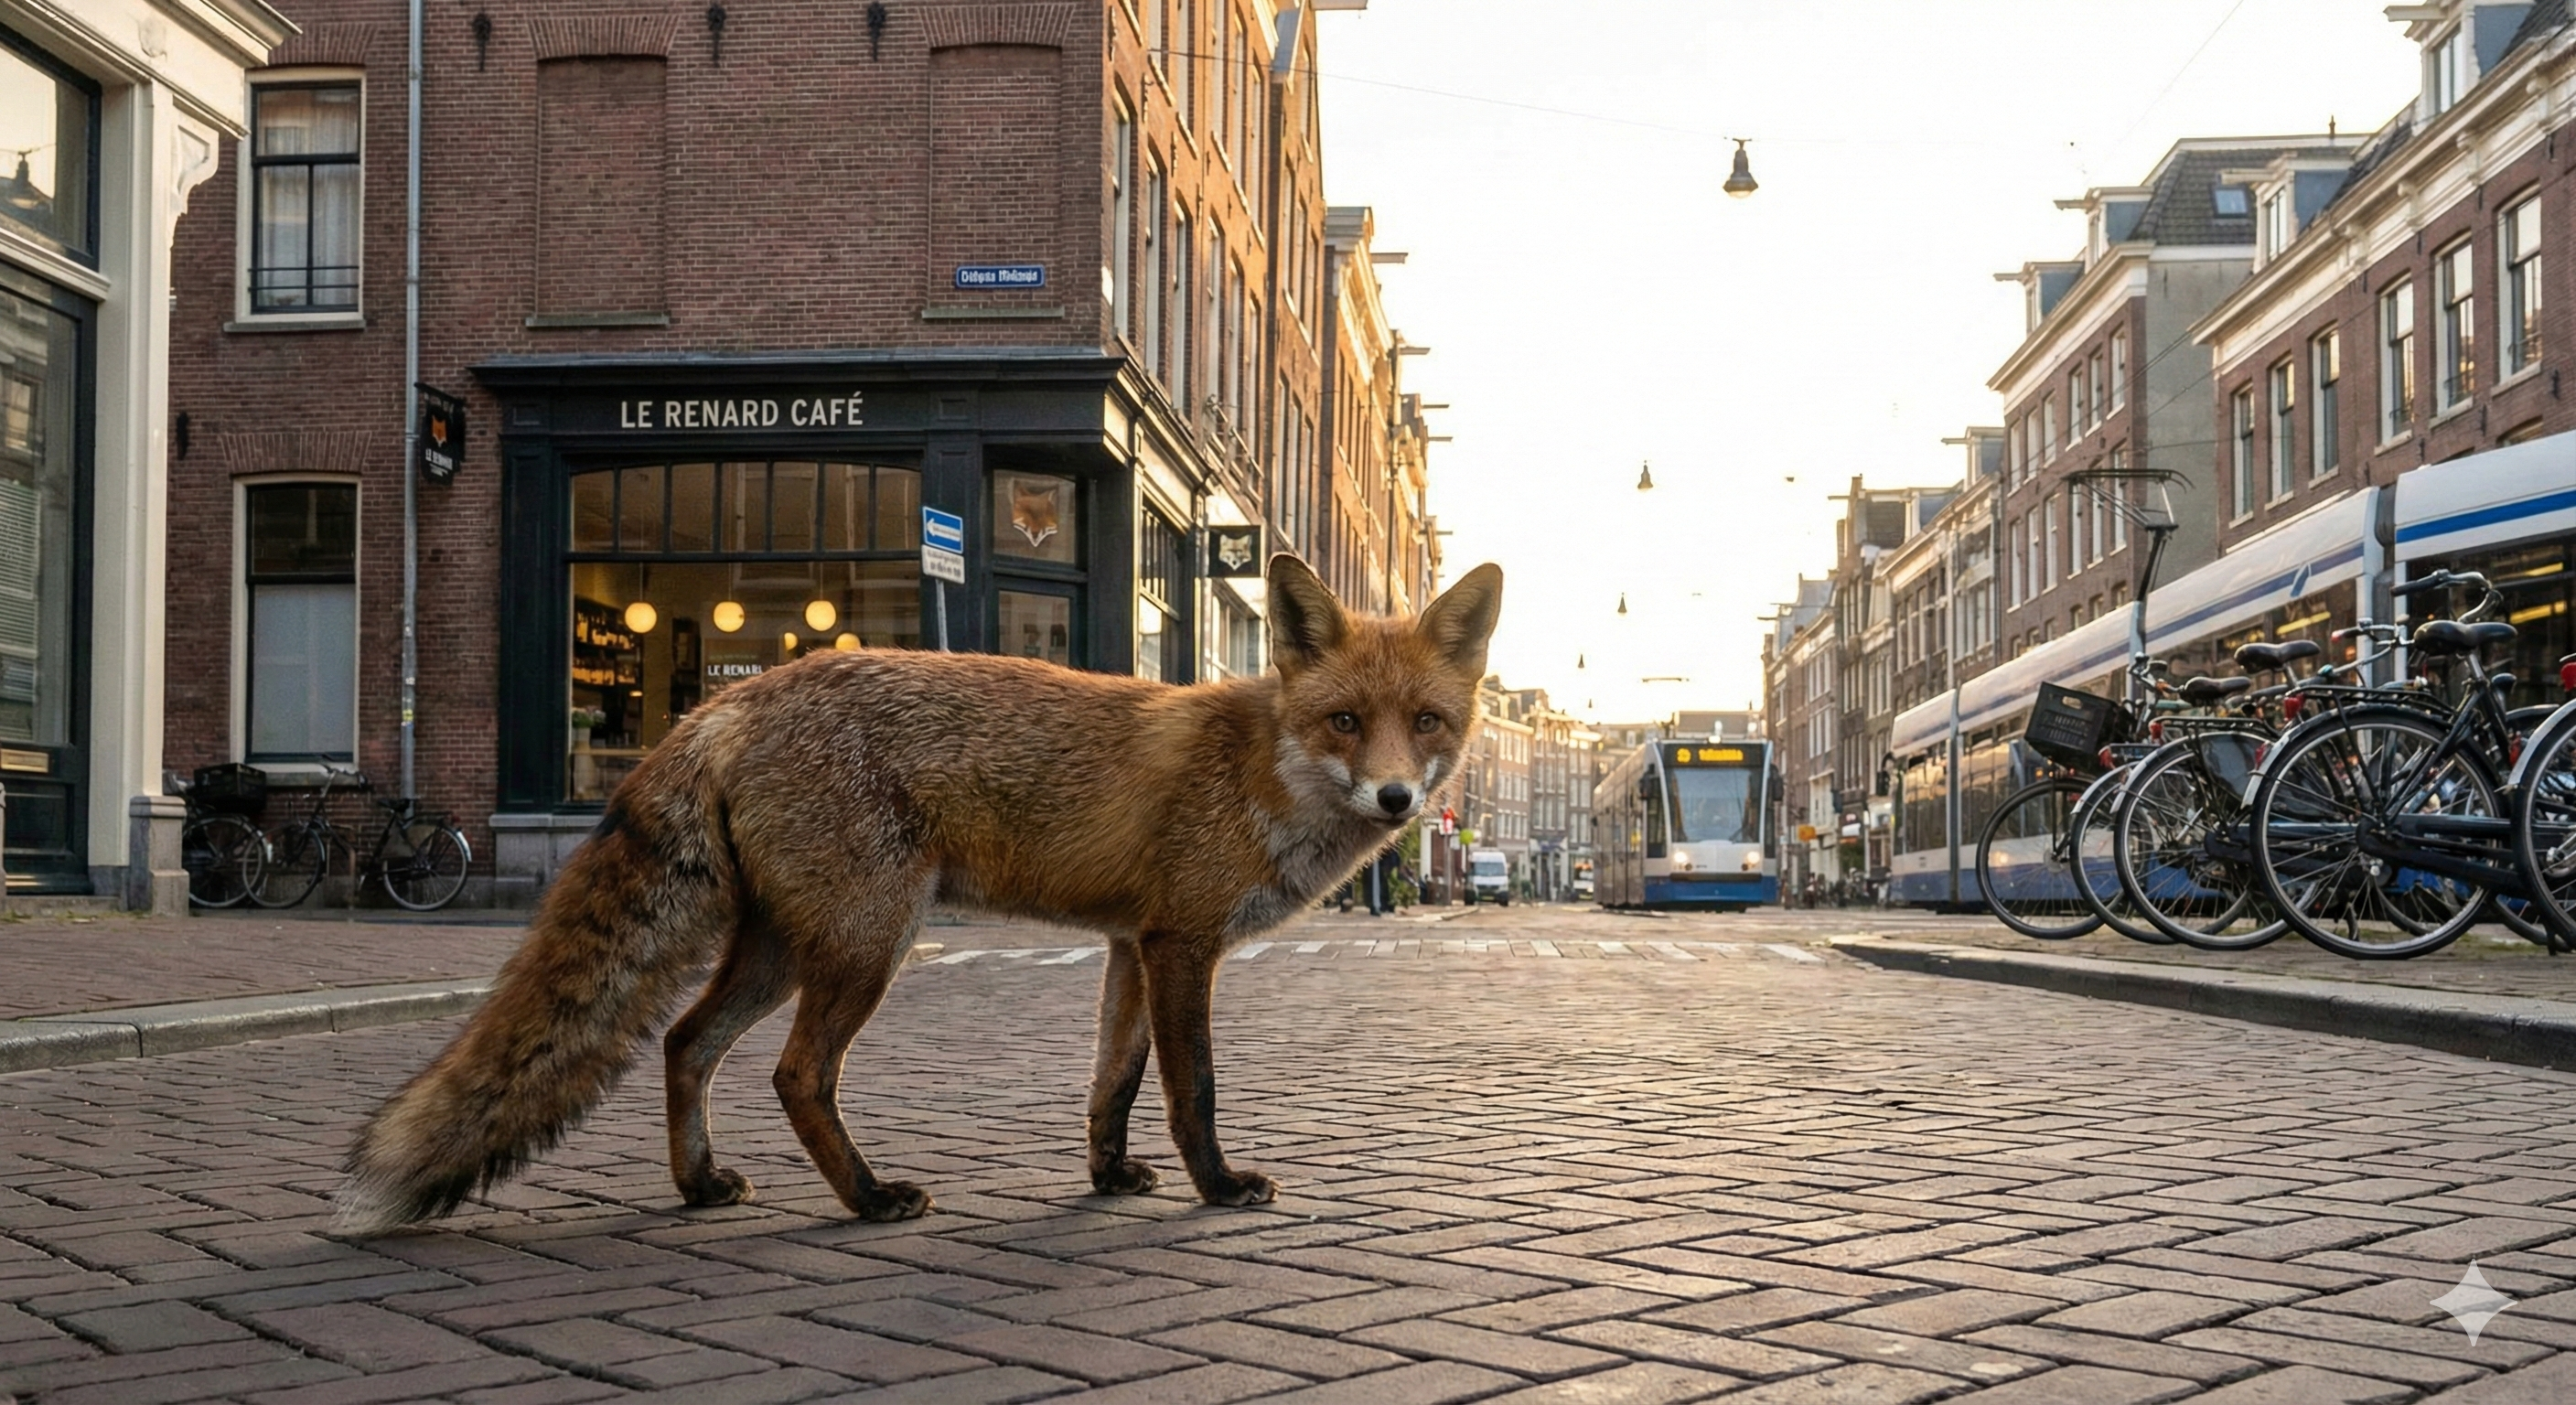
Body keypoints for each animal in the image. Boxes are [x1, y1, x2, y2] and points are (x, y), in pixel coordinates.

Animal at [335, 553, 1503, 1233]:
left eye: (1427, 723)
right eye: (1345, 721)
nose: (1399, 799)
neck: (1262, 769)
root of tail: (732, 699)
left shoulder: (1129, 943)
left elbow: (1112, 1086)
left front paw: (1108, 1178)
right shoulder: (1181, 943)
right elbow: (1192, 1091)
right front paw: (1215, 1189)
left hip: (781, 945)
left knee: (685, 1045)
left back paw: (699, 1187)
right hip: (868, 943)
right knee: (796, 1075)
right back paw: (866, 1198)